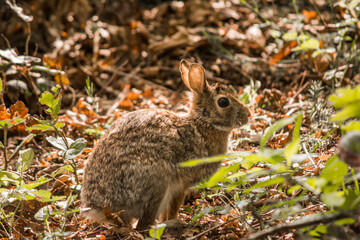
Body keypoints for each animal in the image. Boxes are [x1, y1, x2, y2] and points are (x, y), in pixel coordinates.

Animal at [80, 59, 250, 230]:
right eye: (223, 102)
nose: (248, 115)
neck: (202, 124)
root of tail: (100, 208)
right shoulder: (181, 184)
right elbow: (174, 206)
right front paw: (175, 219)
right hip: (157, 181)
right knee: (144, 226)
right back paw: (171, 224)